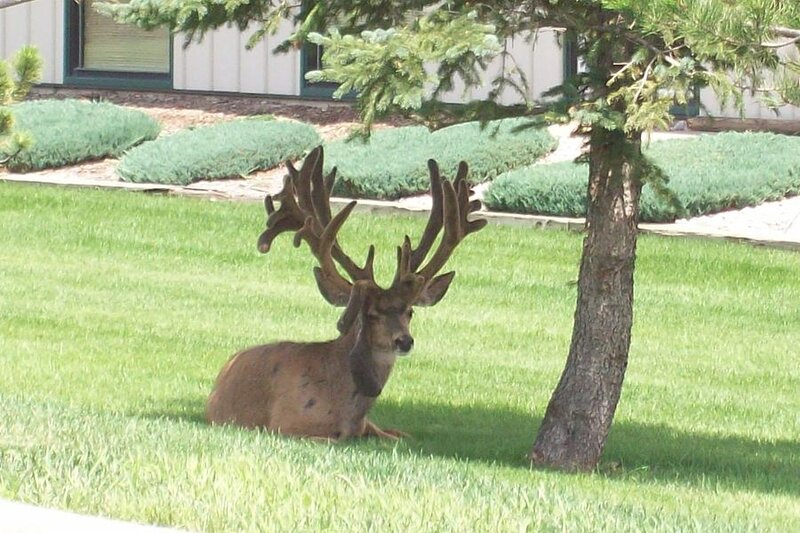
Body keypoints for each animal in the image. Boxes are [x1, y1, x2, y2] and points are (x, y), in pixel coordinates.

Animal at [206, 146, 486, 440]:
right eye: (371, 314)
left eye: (410, 311)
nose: (404, 341)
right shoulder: (285, 425)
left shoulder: (370, 428)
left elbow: (399, 436)